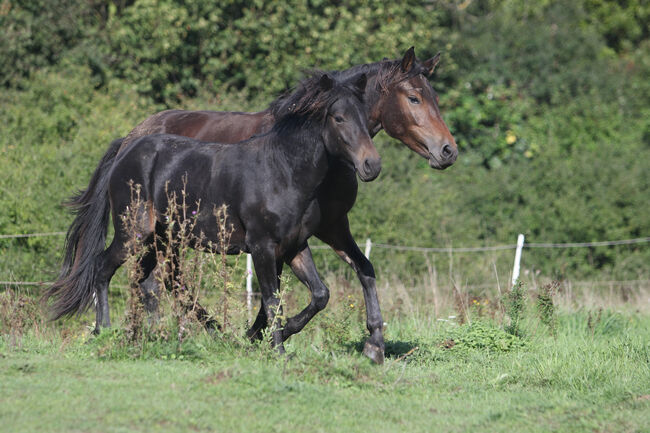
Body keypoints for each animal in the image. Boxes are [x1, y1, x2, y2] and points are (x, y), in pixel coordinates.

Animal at [44, 73, 380, 352]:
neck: (281, 171)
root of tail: (125, 151)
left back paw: (158, 337)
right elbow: (272, 300)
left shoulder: (294, 246)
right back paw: (104, 331)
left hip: (160, 239)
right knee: (103, 268)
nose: (372, 165)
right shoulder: (262, 247)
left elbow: (319, 294)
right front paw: (275, 349)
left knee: (151, 284)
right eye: (338, 118)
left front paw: (272, 335)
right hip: (133, 233)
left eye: (366, 118)